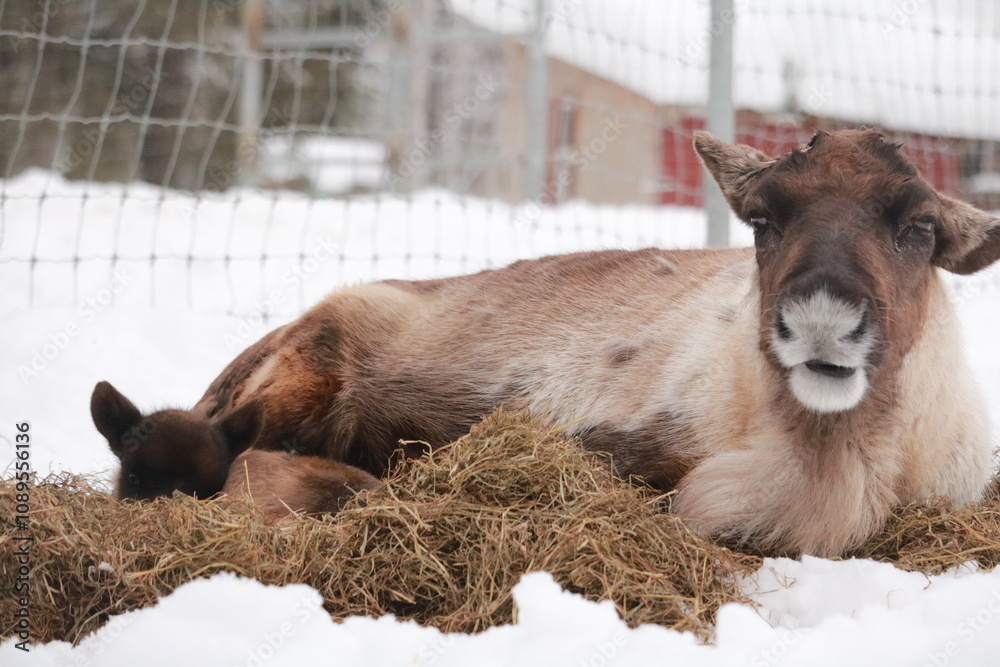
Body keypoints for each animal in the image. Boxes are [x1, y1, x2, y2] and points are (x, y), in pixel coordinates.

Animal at [91, 129, 999, 555]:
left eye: (920, 225)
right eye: (763, 219)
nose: (820, 318)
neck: (838, 464)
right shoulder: (621, 448)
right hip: (297, 375)